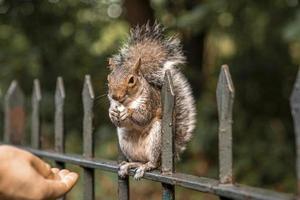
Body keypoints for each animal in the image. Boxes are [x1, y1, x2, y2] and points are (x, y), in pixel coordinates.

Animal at [106, 22, 196, 180]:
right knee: (138, 161)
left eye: (131, 80)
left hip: (156, 139)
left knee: (153, 163)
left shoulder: (150, 102)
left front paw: (128, 112)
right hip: (126, 142)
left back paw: (145, 166)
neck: (127, 101)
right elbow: (117, 120)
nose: (115, 96)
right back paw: (130, 165)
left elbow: (143, 116)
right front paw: (112, 113)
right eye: (108, 78)